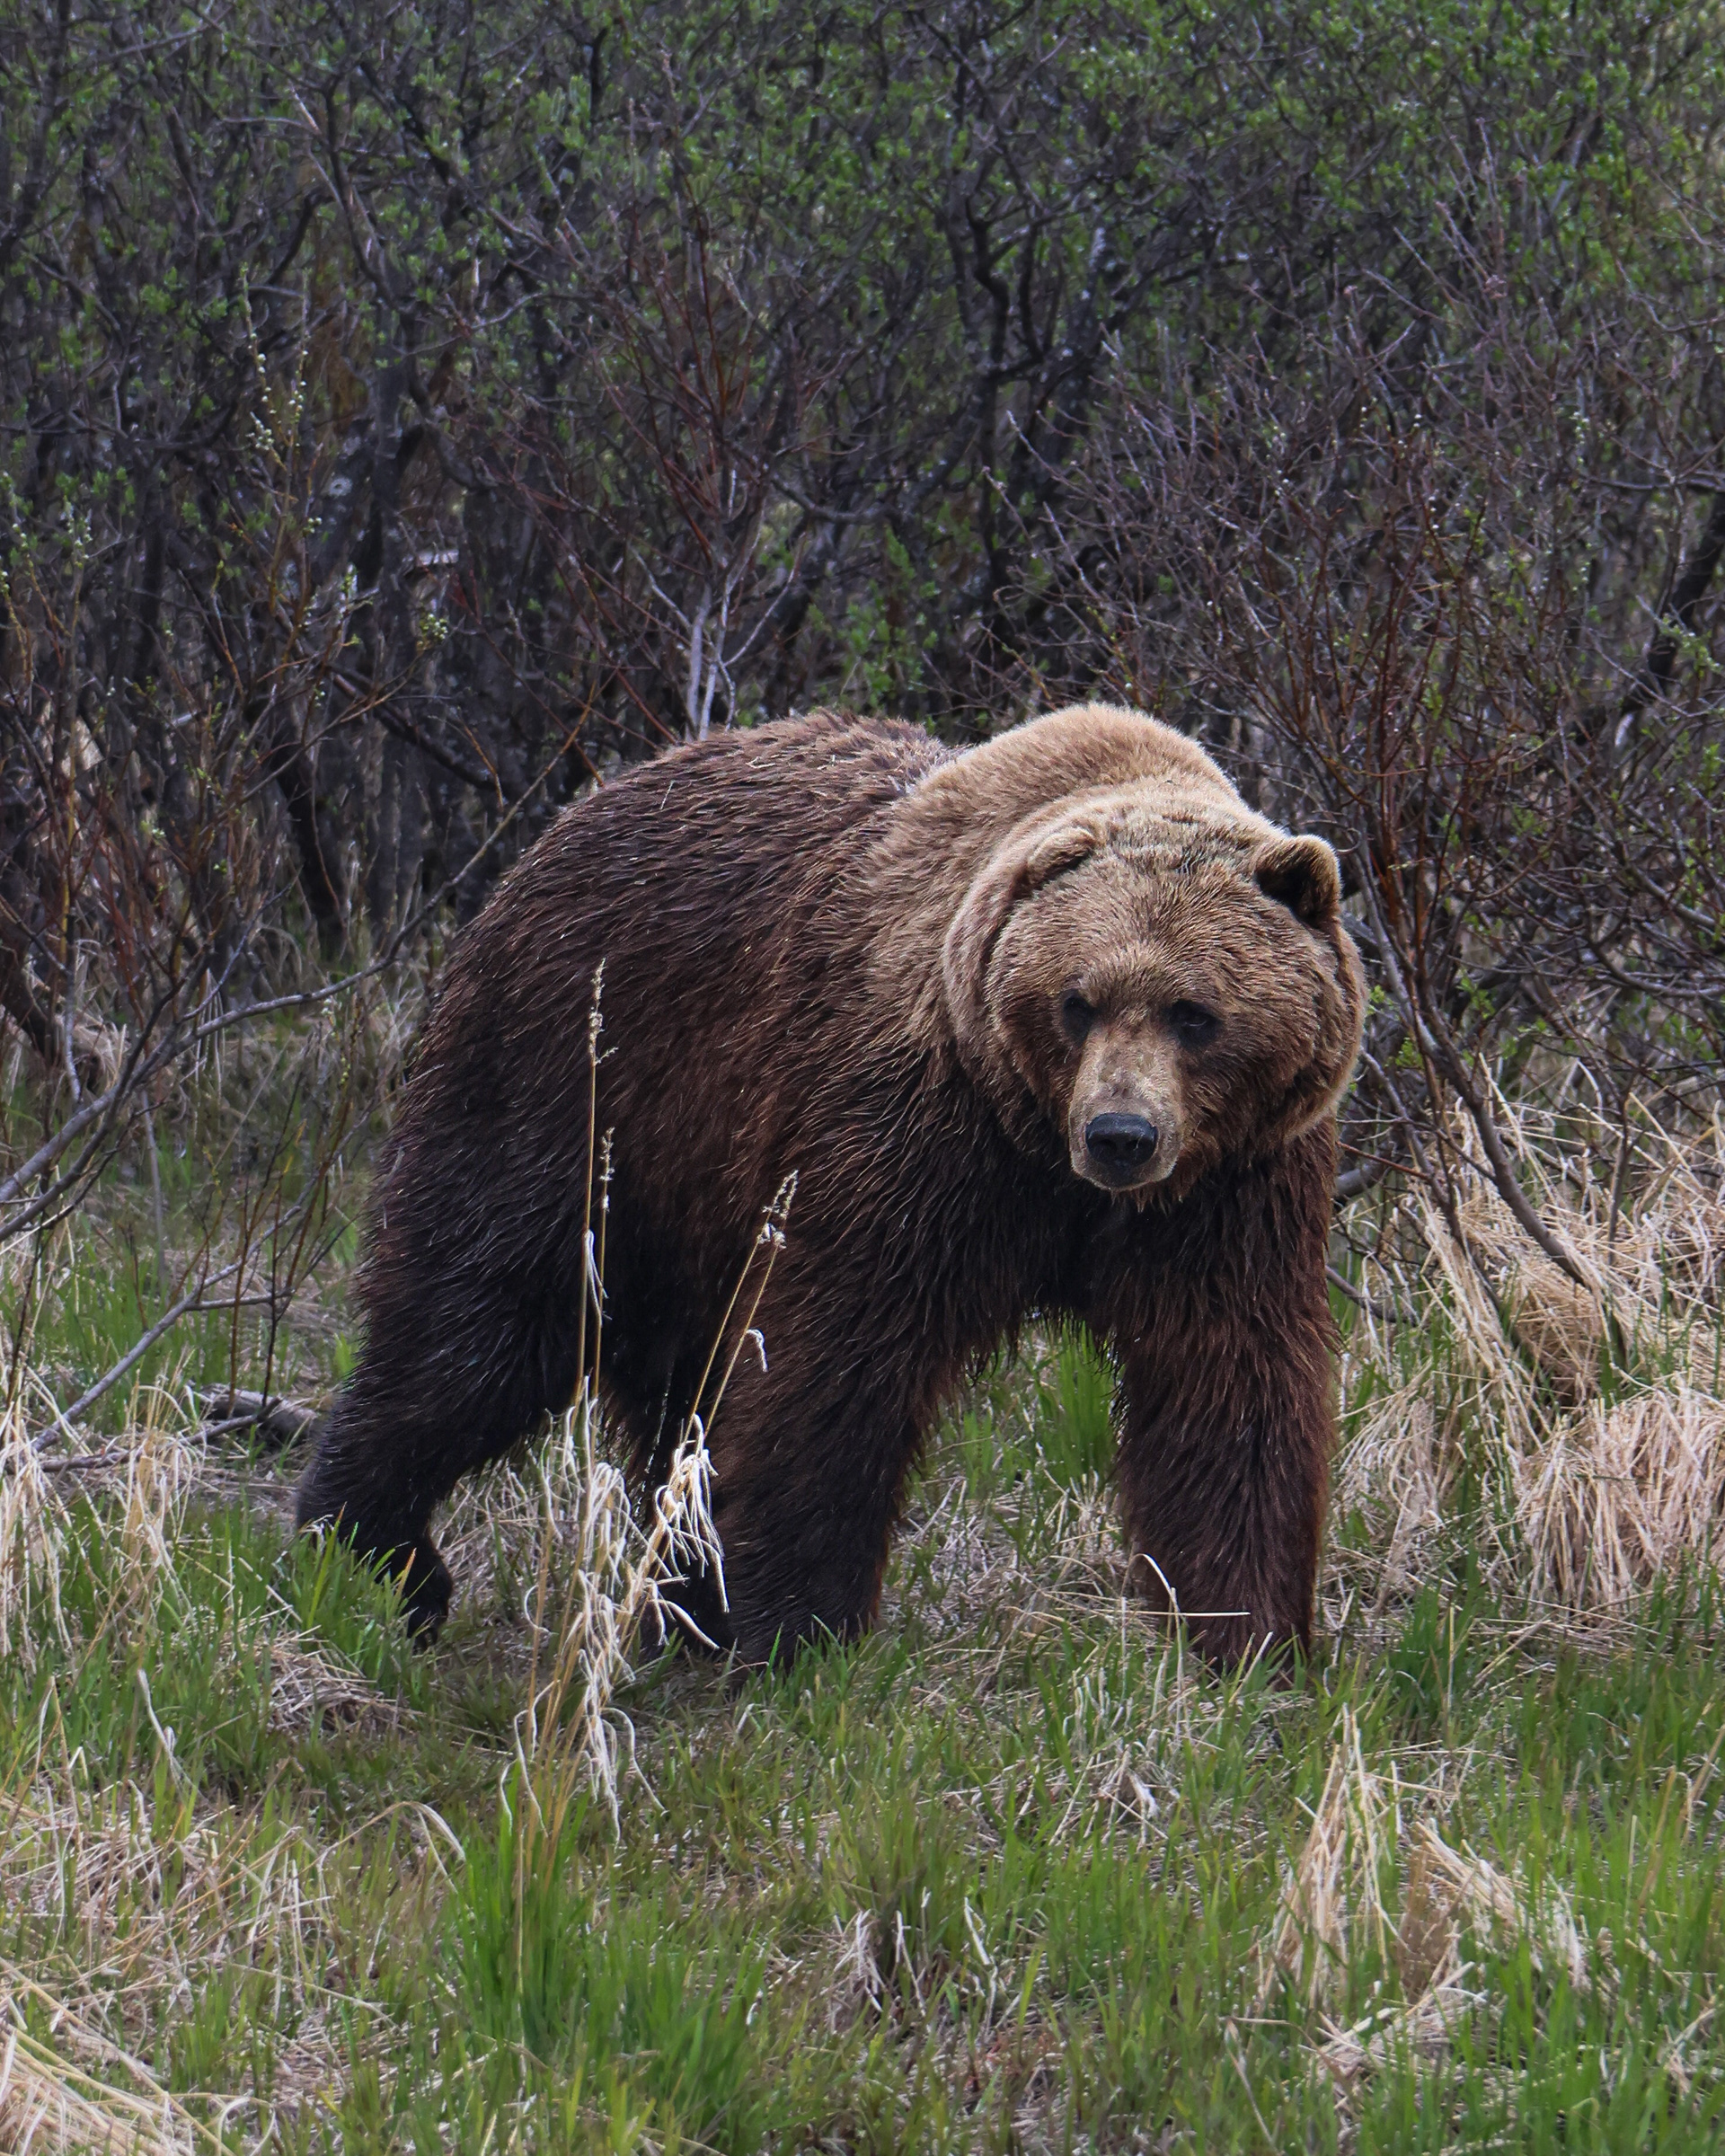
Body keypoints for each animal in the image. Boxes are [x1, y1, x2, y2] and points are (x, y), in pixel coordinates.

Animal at [295, 703, 1365, 1668]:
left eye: (1195, 1012)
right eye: (1079, 1000)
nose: (1120, 1137)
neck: (1037, 1148)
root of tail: (579, 806)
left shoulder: (1232, 1190)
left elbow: (1230, 1383)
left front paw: (1247, 1640)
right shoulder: (911, 1133)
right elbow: (835, 1361)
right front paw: (796, 1628)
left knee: (666, 1387)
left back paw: (675, 1604)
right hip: (580, 1075)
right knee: (483, 1315)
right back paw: (373, 1554)